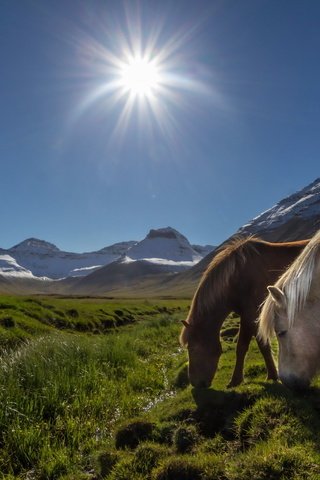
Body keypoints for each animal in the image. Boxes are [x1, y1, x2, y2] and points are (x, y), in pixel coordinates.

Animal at [180, 236, 310, 390]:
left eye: (192, 349)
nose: (195, 383)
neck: (237, 276)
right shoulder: (249, 317)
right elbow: (255, 346)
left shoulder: (251, 316)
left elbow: (246, 347)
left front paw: (238, 379)